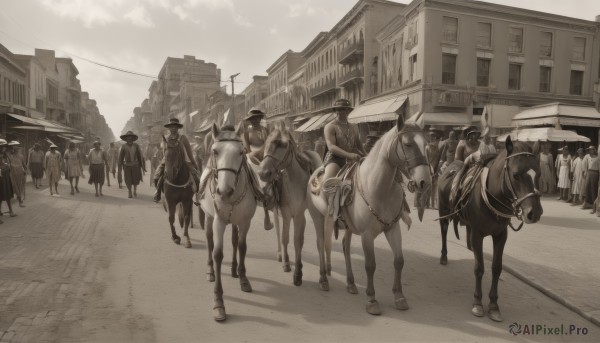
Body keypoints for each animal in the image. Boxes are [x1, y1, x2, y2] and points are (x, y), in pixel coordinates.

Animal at [200, 123, 258, 322]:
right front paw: (219, 302)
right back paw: (210, 271)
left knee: (234, 241)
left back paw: (234, 269)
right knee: (209, 242)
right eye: (215, 151)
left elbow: (242, 247)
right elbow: (217, 253)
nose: (224, 191)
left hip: (234, 221)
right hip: (208, 217)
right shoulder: (218, 221)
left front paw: (243, 278)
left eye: (241, 152)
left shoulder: (246, 221)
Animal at [304, 113, 432, 318]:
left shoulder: (393, 228)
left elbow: (399, 261)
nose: (424, 181)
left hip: (348, 226)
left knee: (346, 247)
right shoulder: (366, 235)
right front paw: (372, 300)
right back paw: (323, 279)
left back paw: (350, 283)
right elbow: (370, 265)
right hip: (318, 218)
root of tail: (316, 171)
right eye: (407, 144)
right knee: (320, 244)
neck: (380, 189)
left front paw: (399, 297)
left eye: (426, 143)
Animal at [436, 137, 544, 322]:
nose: (534, 213)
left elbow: (496, 268)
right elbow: (479, 268)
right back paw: (444, 256)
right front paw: (478, 303)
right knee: (443, 230)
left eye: (538, 174)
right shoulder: (478, 234)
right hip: (443, 210)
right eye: (516, 175)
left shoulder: (501, 235)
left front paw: (493, 306)